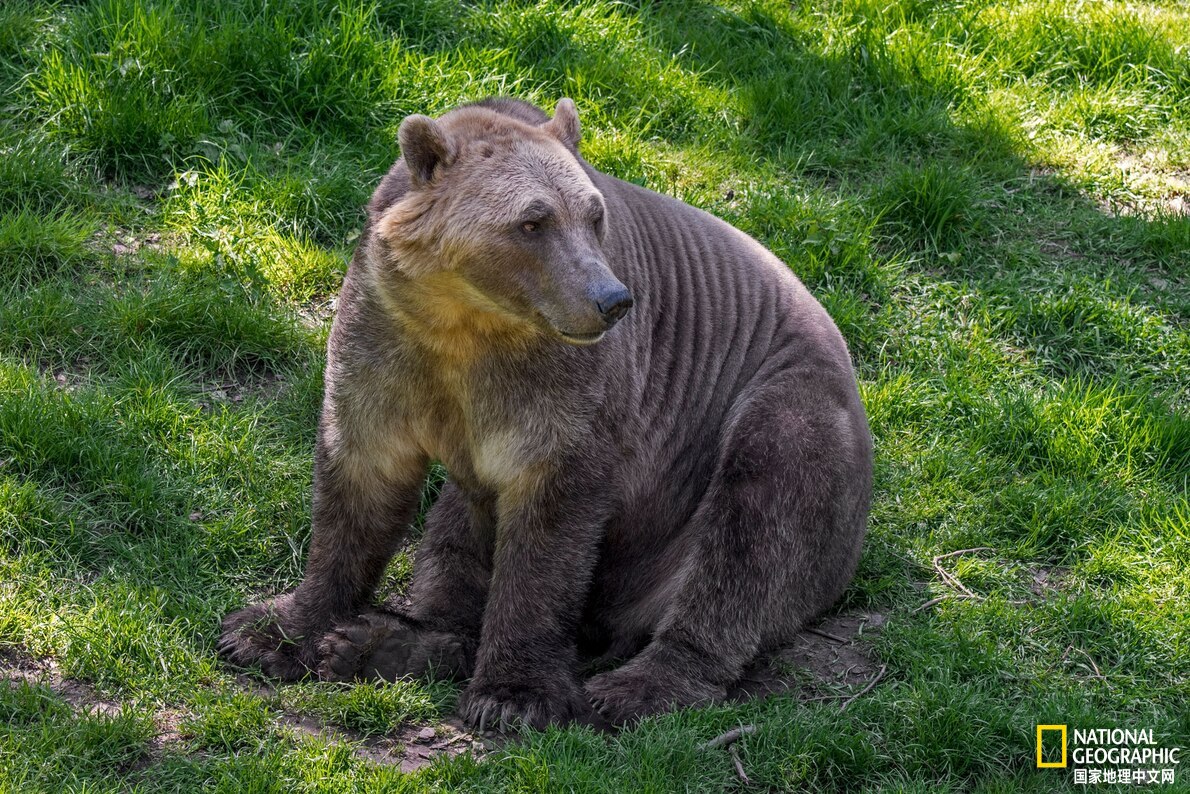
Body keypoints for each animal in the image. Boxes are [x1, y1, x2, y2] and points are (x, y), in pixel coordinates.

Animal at [221, 97, 875, 733]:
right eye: (532, 222)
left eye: (593, 215)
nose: (612, 300)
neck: (464, 321)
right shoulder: (386, 338)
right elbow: (360, 476)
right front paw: (267, 631)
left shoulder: (567, 391)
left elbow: (550, 526)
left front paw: (515, 695)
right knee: (453, 532)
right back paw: (381, 644)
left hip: (783, 407)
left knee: (754, 526)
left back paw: (637, 686)